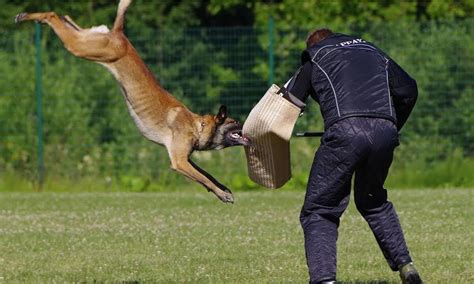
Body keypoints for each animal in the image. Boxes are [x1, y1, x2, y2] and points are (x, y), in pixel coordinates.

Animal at [12, 0, 250, 204]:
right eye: (235, 122)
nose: (247, 126)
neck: (197, 125)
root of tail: (119, 35)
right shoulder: (179, 161)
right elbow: (204, 178)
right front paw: (222, 194)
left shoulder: (184, 158)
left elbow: (207, 174)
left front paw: (223, 188)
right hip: (84, 48)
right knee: (53, 15)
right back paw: (28, 16)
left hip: (88, 39)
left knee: (67, 19)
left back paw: (37, 17)